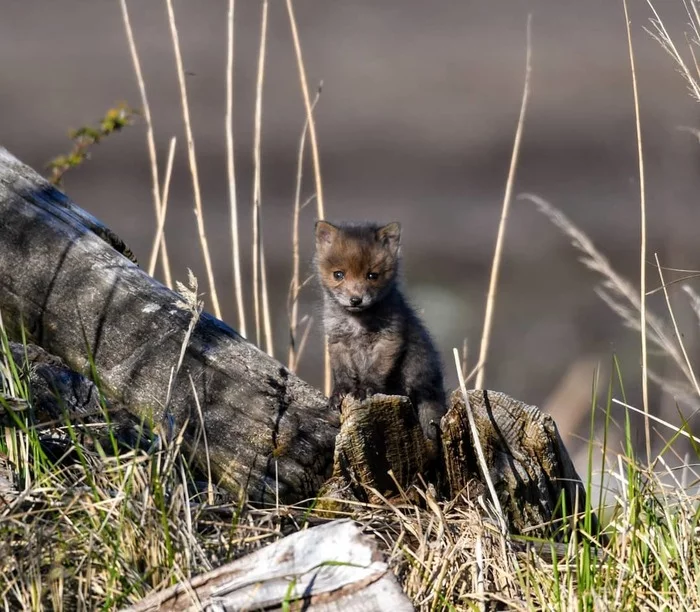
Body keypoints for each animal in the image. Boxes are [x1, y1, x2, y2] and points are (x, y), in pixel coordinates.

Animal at [314, 220, 447, 451]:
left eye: (372, 276)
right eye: (338, 275)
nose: (356, 300)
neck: (357, 323)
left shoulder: (389, 339)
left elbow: (376, 370)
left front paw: (366, 389)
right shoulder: (337, 341)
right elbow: (342, 372)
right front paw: (340, 392)